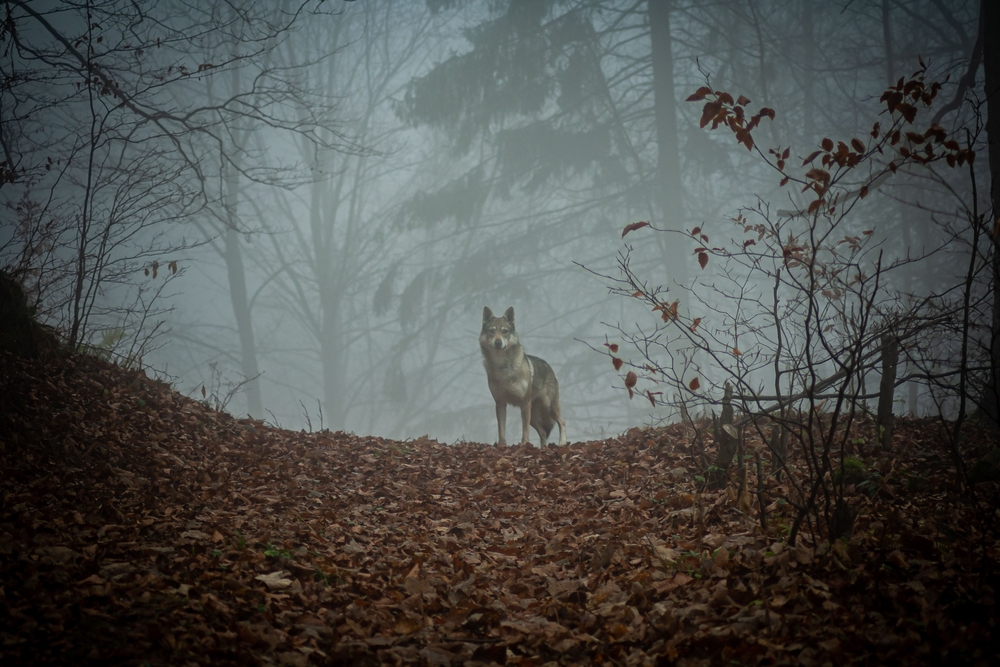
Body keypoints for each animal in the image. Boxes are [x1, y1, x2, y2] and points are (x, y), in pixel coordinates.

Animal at [480, 306, 567, 447]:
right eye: (491, 331)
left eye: (505, 331)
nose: (498, 342)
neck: (503, 366)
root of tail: (549, 367)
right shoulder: (500, 403)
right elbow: (501, 430)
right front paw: (502, 446)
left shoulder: (524, 403)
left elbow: (524, 430)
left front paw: (525, 444)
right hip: (534, 416)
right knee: (543, 432)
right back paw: (543, 448)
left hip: (548, 407)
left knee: (562, 422)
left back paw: (562, 442)